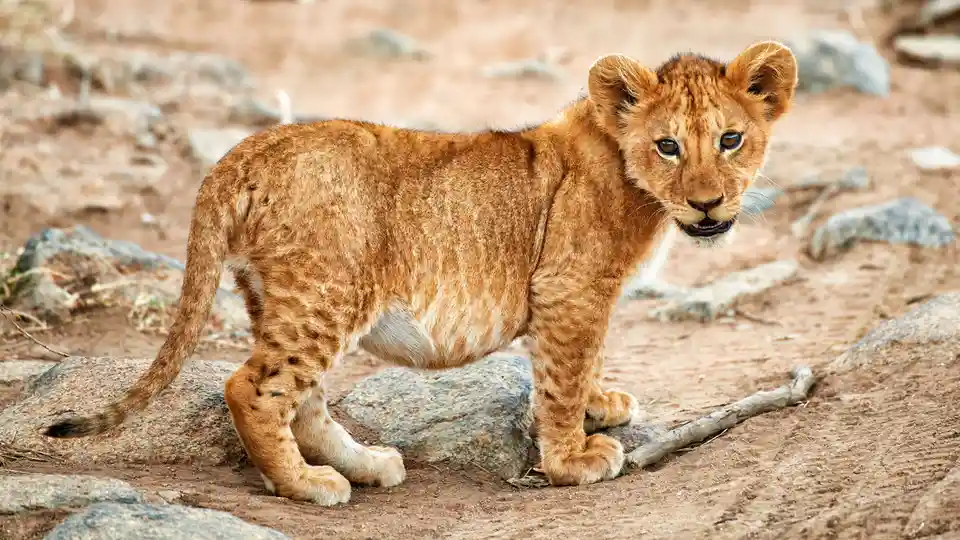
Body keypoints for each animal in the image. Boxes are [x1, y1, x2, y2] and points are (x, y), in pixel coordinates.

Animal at [43, 41, 798, 505]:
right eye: (668, 146)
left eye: (731, 139)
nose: (707, 204)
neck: (631, 177)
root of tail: (243, 152)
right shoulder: (569, 288)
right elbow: (559, 376)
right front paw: (572, 459)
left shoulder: (579, 298)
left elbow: (581, 363)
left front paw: (601, 404)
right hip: (326, 293)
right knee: (252, 389)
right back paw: (307, 486)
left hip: (284, 297)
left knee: (304, 400)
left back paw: (365, 465)